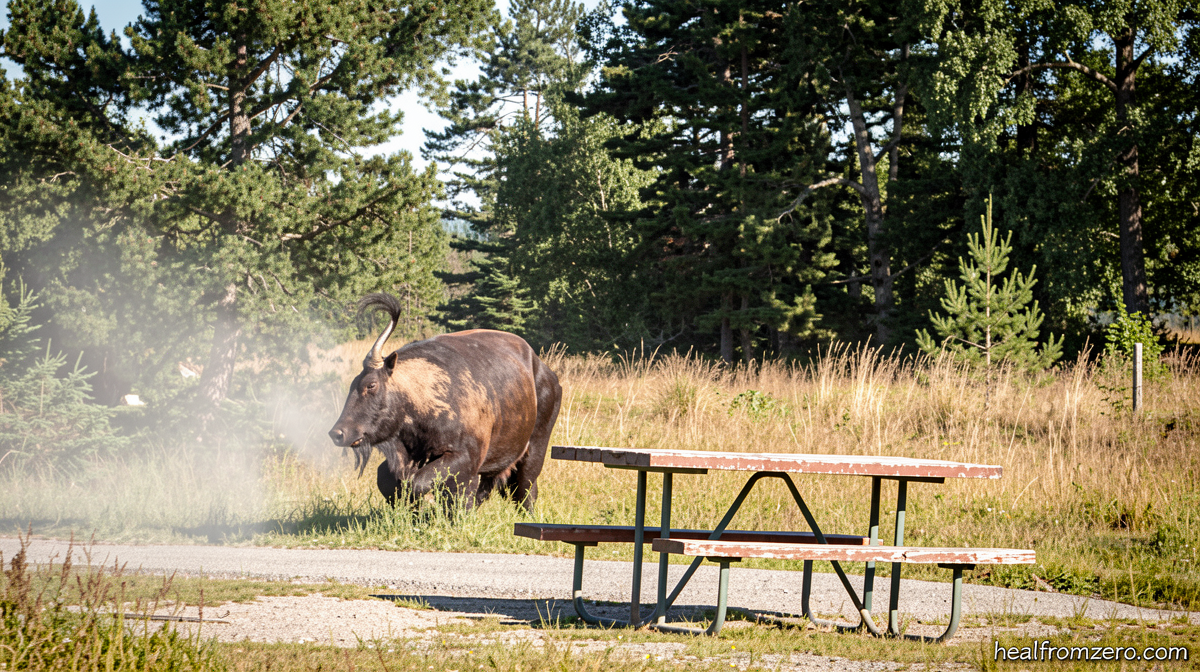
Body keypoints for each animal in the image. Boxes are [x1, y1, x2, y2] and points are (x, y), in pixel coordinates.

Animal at [328, 293, 561, 511]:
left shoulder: (463, 458)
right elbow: (390, 482)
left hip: (533, 452)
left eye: (371, 385)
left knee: (525, 492)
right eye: (353, 383)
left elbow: (423, 485)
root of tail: (546, 373)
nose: (337, 433)